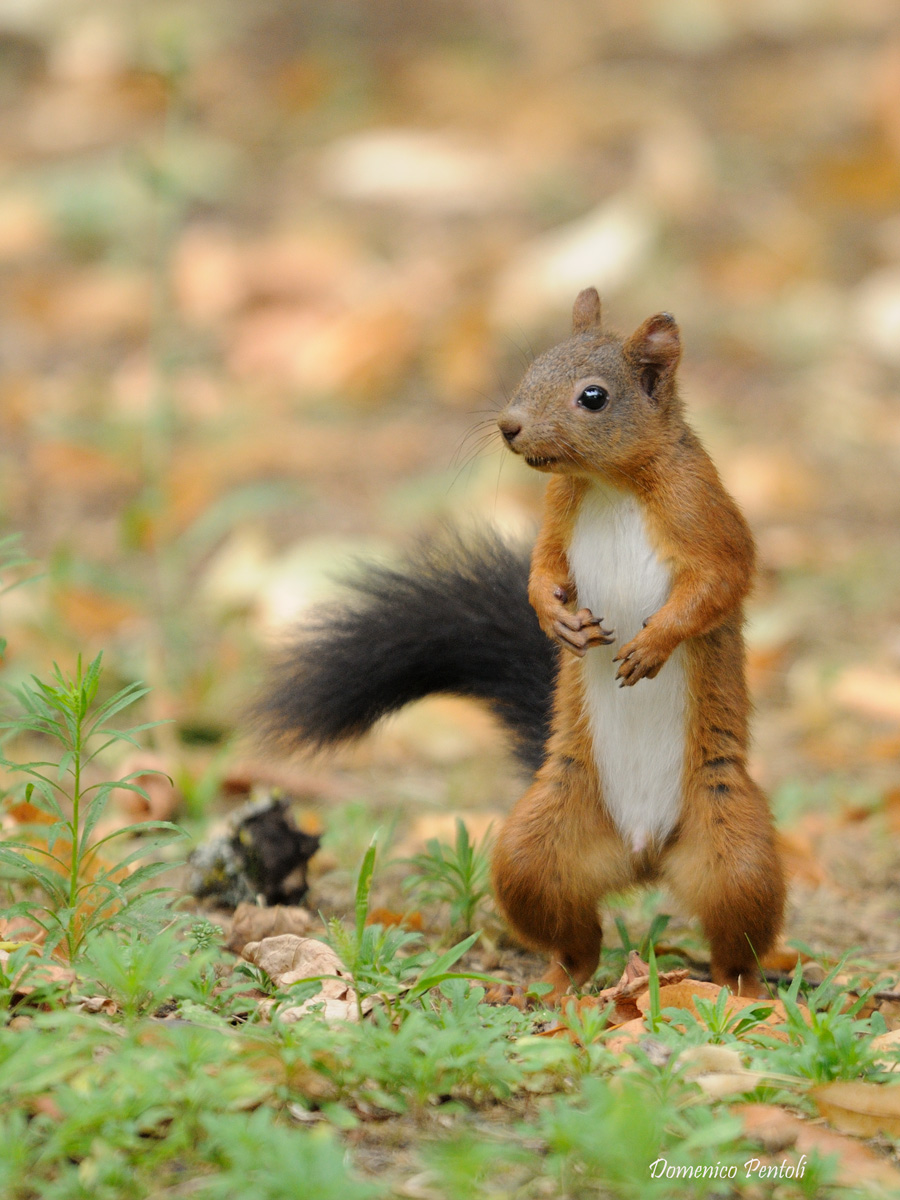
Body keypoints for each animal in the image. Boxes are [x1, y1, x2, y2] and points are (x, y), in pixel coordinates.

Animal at [258, 289, 785, 1001]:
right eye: (532, 367)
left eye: (593, 397)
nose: (509, 426)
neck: (612, 483)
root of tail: (644, 855)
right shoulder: (558, 515)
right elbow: (542, 569)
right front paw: (555, 620)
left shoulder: (703, 510)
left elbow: (720, 582)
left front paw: (653, 645)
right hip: (538, 846)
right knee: (572, 937)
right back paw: (555, 987)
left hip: (735, 854)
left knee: (737, 940)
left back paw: (745, 994)